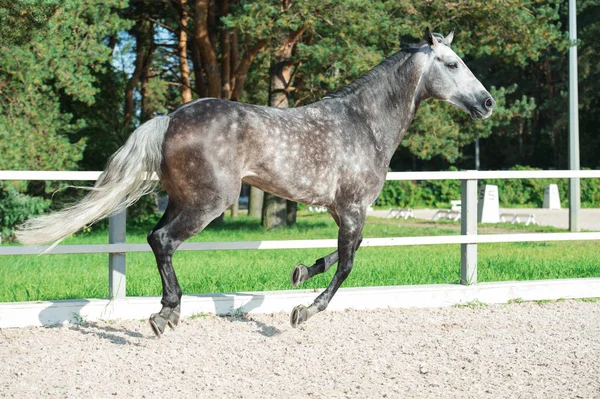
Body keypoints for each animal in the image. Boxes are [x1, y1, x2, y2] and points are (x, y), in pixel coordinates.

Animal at [16, 29, 494, 338]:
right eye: (452, 64)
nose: (487, 103)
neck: (364, 124)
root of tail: (170, 118)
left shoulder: (341, 209)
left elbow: (344, 255)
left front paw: (300, 273)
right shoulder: (353, 207)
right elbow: (347, 263)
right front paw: (305, 311)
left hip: (182, 198)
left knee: (156, 237)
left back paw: (168, 311)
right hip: (209, 202)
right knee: (163, 240)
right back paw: (165, 315)